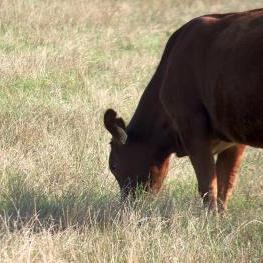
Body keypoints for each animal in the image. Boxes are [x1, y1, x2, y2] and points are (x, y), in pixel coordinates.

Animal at [104, 8, 263, 212]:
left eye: (114, 166)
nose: (127, 205)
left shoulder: (192, 129)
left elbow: (207, 185)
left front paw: (209, 218)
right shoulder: (234, 138)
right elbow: (225, 185)